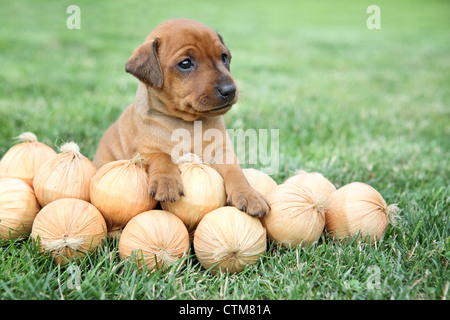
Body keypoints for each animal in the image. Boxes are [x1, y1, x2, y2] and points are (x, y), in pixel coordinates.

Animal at [91, 18, 268, 218]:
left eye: (224, 57)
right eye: (185, 63)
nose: (229, 90)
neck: (188, 123)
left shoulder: (222, 151)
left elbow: (235, 172)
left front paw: (249, 194)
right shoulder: (145, 151)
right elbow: (162, 157)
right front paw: (167, 182)